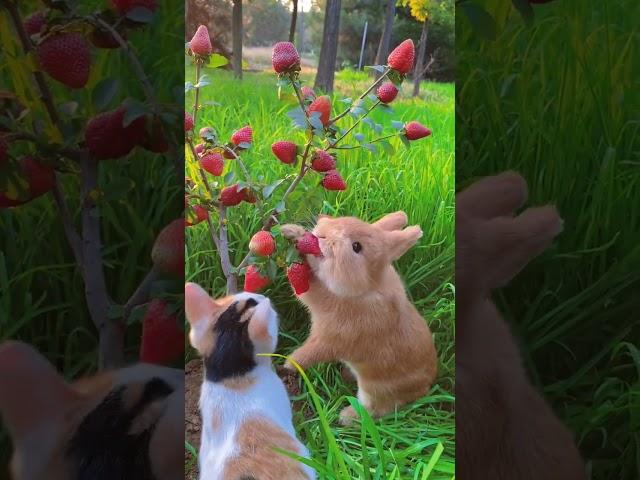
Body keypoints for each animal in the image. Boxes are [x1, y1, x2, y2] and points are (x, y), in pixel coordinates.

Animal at [282, 214, 438, 424]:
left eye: (356, 247)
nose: (321, 233)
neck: (366, 288)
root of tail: (424, 387)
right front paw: (292, 232)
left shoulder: (329, 338)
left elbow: (307, 353)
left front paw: (288, 364)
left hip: (375, 389)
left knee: (376, 409)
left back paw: (345, 417)